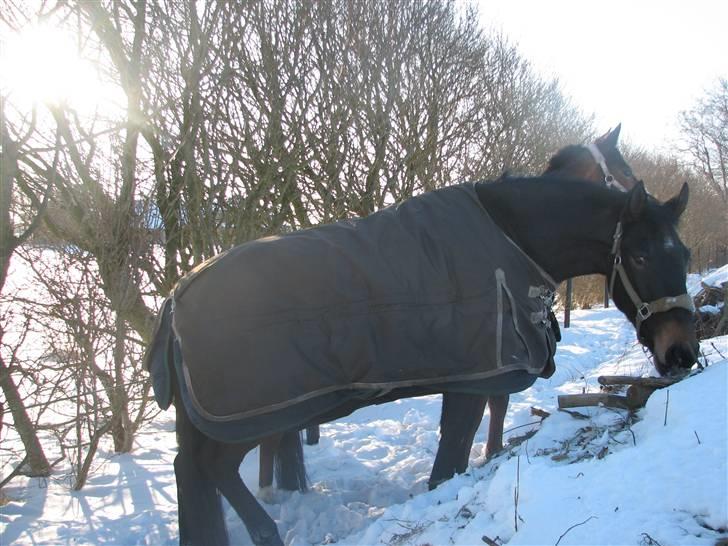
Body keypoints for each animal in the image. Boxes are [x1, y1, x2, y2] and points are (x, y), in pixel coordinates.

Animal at [145, 171, 696, 544]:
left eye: (686, 254)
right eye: (641, 255)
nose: (681, 352)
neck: (511, 239)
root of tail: (173, 300)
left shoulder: (473, 380)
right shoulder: (472, 381)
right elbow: (448, 465)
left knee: (192, 472)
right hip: (245, 420)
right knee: (208, 470)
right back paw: (266, 532)